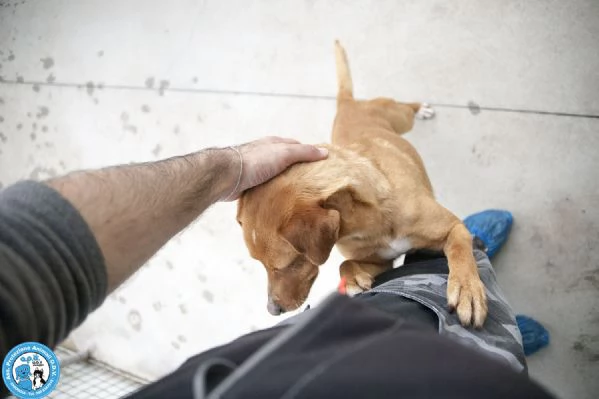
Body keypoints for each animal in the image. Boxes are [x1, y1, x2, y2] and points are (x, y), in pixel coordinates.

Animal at [237, 40, 490, 328]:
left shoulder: (454, 227)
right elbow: (344, 264)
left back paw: (422, 108)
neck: (372, 221)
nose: (272, 310)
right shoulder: (379, 262)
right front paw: (353, 279)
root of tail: (347, 102)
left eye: (288, 264)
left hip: (401, 118)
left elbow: (459, 249)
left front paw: (467, 289)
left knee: (406, 107)